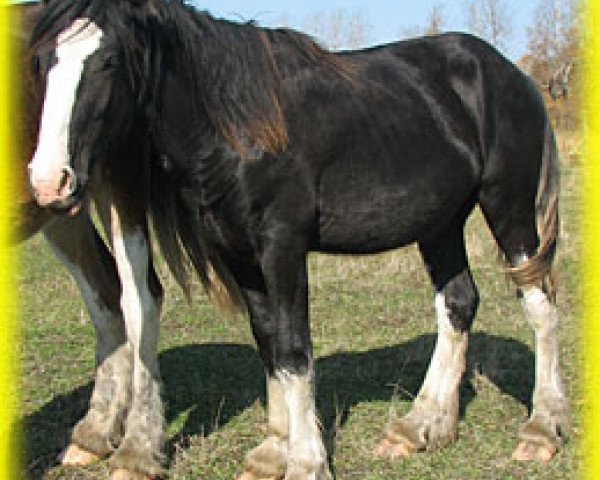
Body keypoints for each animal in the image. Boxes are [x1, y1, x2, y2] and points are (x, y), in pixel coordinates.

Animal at [28, 0, 568, 478]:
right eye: (43, 60)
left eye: (108, 59)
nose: (49, 182)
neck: (239, 126)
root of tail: (512, 75)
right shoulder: (241, 256)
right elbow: (269, 343)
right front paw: (274, 453)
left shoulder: (282, 248)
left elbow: (293, 349)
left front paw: (307, 462)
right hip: (440, 225)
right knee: (457, 302)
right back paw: (418, 427)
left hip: (509, 210)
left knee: (539, 305)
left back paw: (542, 429)